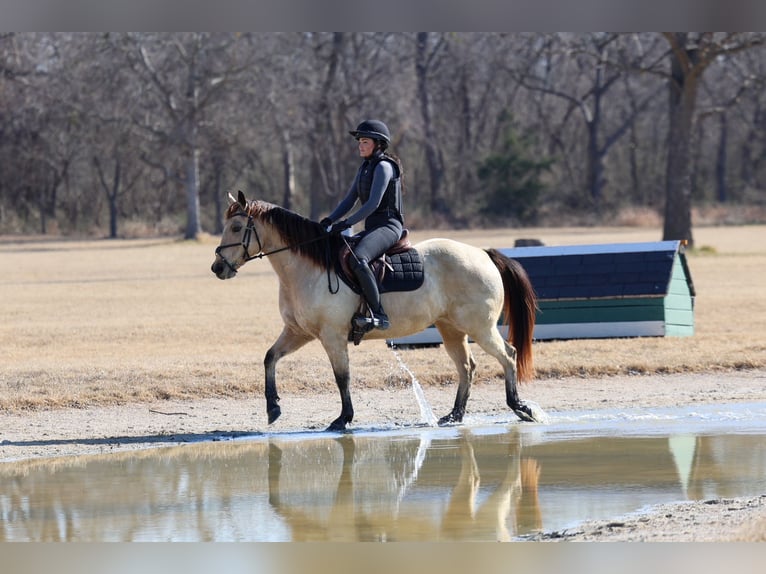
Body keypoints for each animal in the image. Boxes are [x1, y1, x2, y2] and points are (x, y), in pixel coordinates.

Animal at [211, 191, 548, 431]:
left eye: (237, 227)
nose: (217, 268)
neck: (308, 269)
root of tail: (482, 253)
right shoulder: (298, 332)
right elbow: (270, 358)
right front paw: (273, 408)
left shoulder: (332, 336)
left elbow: (342, 377)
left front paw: (343, 419)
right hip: (451, 328)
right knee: (467, 367)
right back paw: (454, 416)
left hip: (480, 327)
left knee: (508, 355)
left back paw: (520, 407)